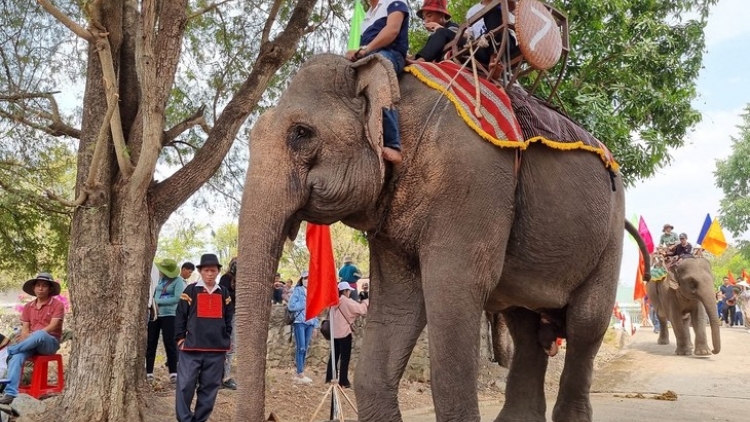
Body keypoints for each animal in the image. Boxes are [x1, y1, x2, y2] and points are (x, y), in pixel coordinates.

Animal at [238, 52, 648, 422]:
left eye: (301, 134)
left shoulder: (470, 184)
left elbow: (453, 297)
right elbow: (396, 305)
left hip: (610, 232)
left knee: (585, 324)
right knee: (525, 329)